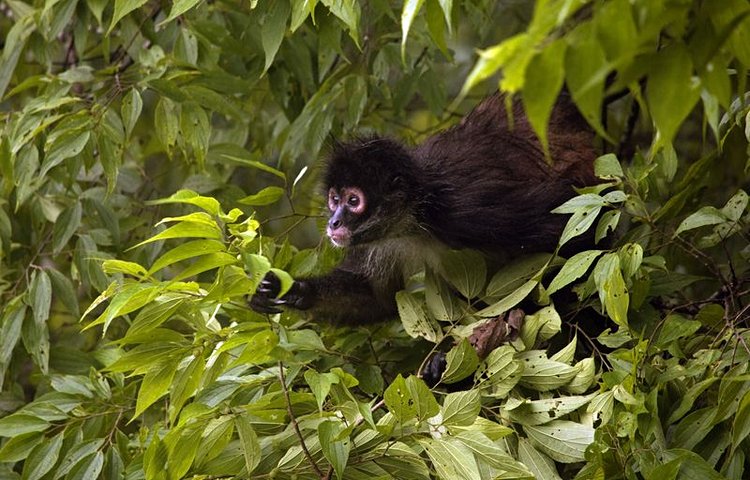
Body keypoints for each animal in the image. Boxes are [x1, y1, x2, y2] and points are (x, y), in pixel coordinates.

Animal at [251, 92, 600, 324]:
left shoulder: (465, 209)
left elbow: (571, 231)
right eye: (334, 199)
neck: (415, 219)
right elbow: (376, 297)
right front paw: (294, 290)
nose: (334, 222)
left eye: (353, 201)